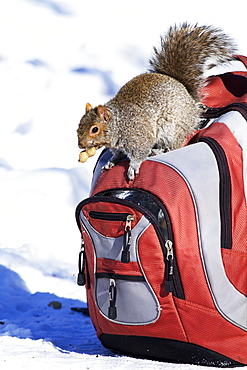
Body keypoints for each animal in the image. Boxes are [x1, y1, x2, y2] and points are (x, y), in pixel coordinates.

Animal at [77, 22, 237, 180]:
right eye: (78, 126)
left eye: (94, 129)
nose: (80, 145)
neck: (120, 123)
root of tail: (190, 101)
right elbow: (117, 154)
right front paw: (111, 161)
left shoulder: (139, 136)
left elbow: (139, 154)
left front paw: (133, 167)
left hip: (173, 129)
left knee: (173, 147)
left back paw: (157, 151)